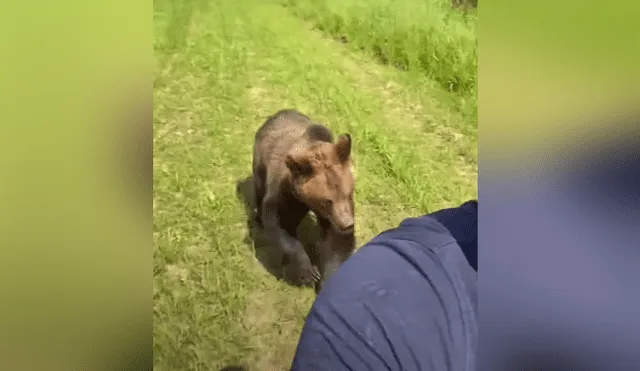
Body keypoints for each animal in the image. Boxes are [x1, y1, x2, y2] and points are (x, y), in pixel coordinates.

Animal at [252, 109, 358, 290]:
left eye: (349, 193)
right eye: (326, 200)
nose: (347, 224)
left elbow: (335, 242)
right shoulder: (286, 192)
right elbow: (281, 223)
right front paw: (309, 272)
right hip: (260, 162)